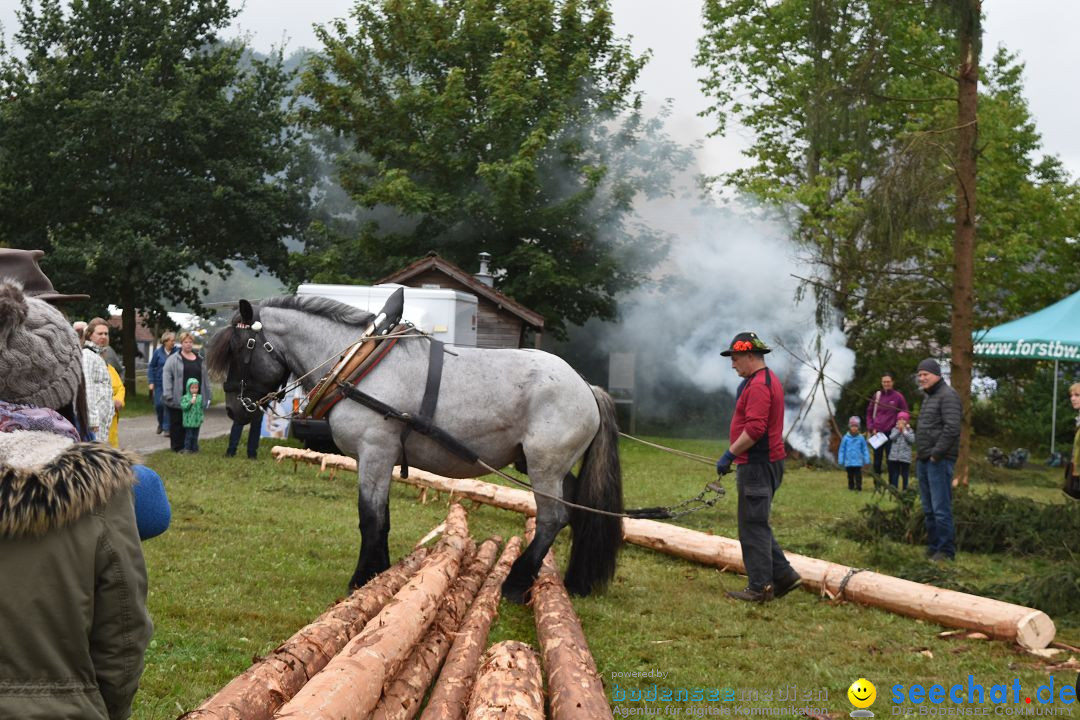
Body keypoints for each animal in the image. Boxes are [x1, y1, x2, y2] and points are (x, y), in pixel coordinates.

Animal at [205, 293, 622, 604]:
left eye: (241, 348)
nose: (234, 409)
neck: (356, 363)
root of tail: (587, 387)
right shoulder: (383, 457)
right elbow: (383, 518)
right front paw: (380, 571)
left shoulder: (374, 451)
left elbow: (370, 518)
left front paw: (361, 579)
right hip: (549, 468)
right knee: (576, 511)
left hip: (543, 467)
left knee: (552, 518)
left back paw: (516, 584)